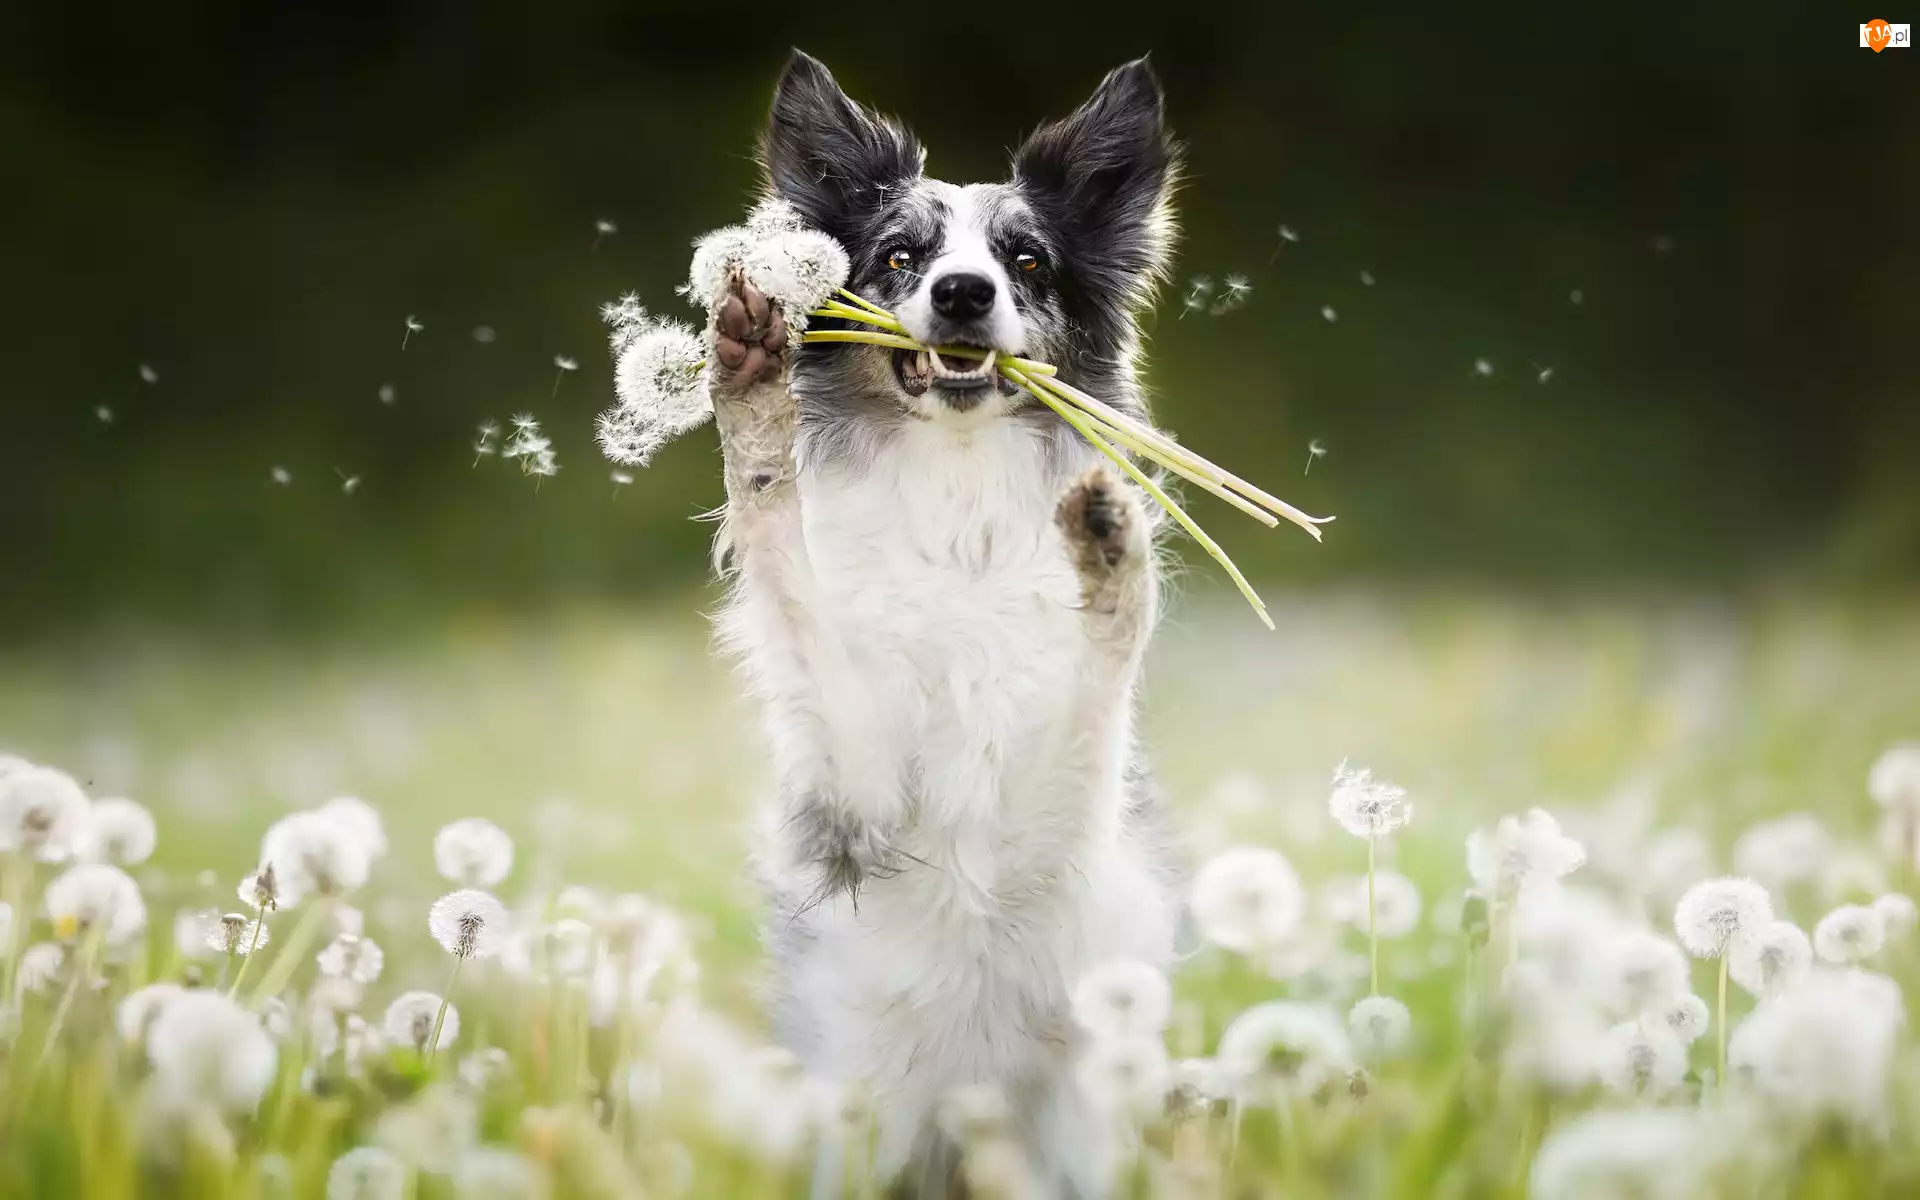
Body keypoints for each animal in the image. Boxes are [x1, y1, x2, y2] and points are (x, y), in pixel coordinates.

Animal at [706, 51, 1182, 1190]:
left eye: (1025, 258)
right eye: (899, 255)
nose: (963, 293)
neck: (959, 508)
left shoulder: (1060, 828)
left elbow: (1105, 665)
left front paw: (1117, 542)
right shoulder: (861, 795)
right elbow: (778, 541)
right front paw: (749, 399)